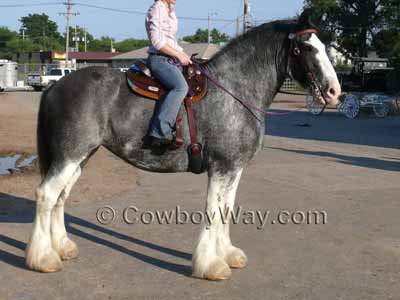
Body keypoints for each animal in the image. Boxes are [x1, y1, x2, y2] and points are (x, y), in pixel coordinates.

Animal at [26, 9, 340, 282]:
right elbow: (213, 210)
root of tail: (56, 86)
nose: (335, 91)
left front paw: (228, 254)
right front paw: (211, 265)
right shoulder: (222, 168)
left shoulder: (234, 169)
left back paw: (62, 248)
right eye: (307, 48)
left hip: (79, 157)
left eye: (323, 46)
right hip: (70, 155)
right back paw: (44, 258)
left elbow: (226, 209)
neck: (234, 90)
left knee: (61, 197)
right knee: (46, 195)